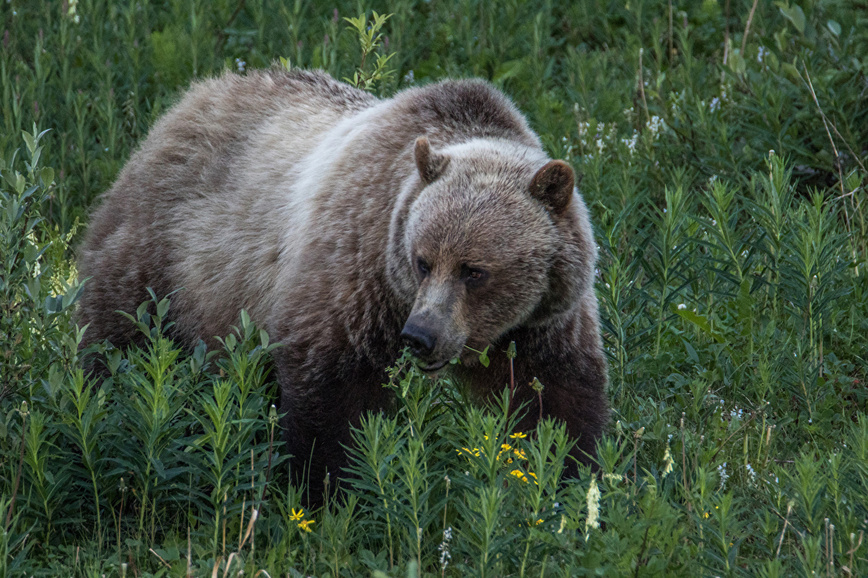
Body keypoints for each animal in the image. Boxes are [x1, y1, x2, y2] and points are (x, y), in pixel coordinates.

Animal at [79, 66, 612, 490]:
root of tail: (189, 98)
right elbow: (333, 393)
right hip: (167, 252)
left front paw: (566, 478)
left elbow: (556, 400)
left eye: (474, 270)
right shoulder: (355, 268)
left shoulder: (546, 318)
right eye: (423, 260)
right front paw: (331, 490)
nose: (420, 336)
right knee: (119, 332)